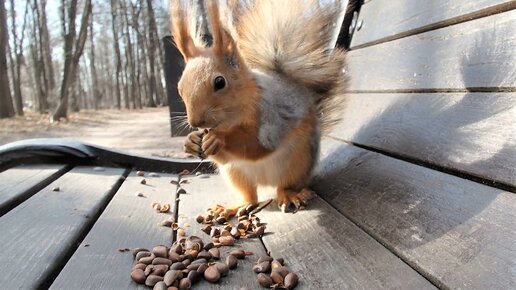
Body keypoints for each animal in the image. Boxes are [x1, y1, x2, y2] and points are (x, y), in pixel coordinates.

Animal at [170, 0, 346, 215]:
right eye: (180, 88)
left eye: (220, 82)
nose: (196, 122)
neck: (232, 120)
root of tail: (266, 183)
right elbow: (225, 156)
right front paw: (191, 141)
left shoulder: (271, 114)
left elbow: (257, 146)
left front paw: (219, 138)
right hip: (236, 174)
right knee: (250, 196)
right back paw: (234, 207)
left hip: (298, 164)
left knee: (284, 186)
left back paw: (290, 195)